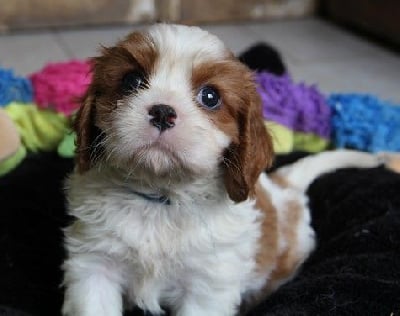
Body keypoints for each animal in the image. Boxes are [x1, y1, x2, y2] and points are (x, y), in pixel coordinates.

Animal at [63, 23, 390, 314]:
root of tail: (284, 184)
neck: (160, 198)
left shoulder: (208, 286)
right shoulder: (94, 267)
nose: (163, 111)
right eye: (131, 81)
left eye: (210, 97)